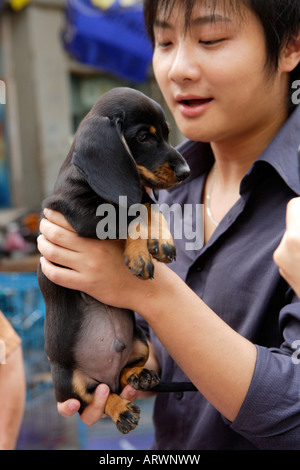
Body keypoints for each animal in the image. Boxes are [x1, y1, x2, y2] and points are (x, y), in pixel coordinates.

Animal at [38, 87, 190, 434]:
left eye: (166, 133)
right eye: (144, 136)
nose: (186, 172)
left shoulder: (141, 194)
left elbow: (148, 204)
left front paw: (161, 240)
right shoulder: (80, 213)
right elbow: (132, 212)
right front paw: (139, 254)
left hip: (140, 341)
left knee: (118, 379)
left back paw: (138, 376)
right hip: (65, 380)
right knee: (94, 397)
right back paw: (121, 409)